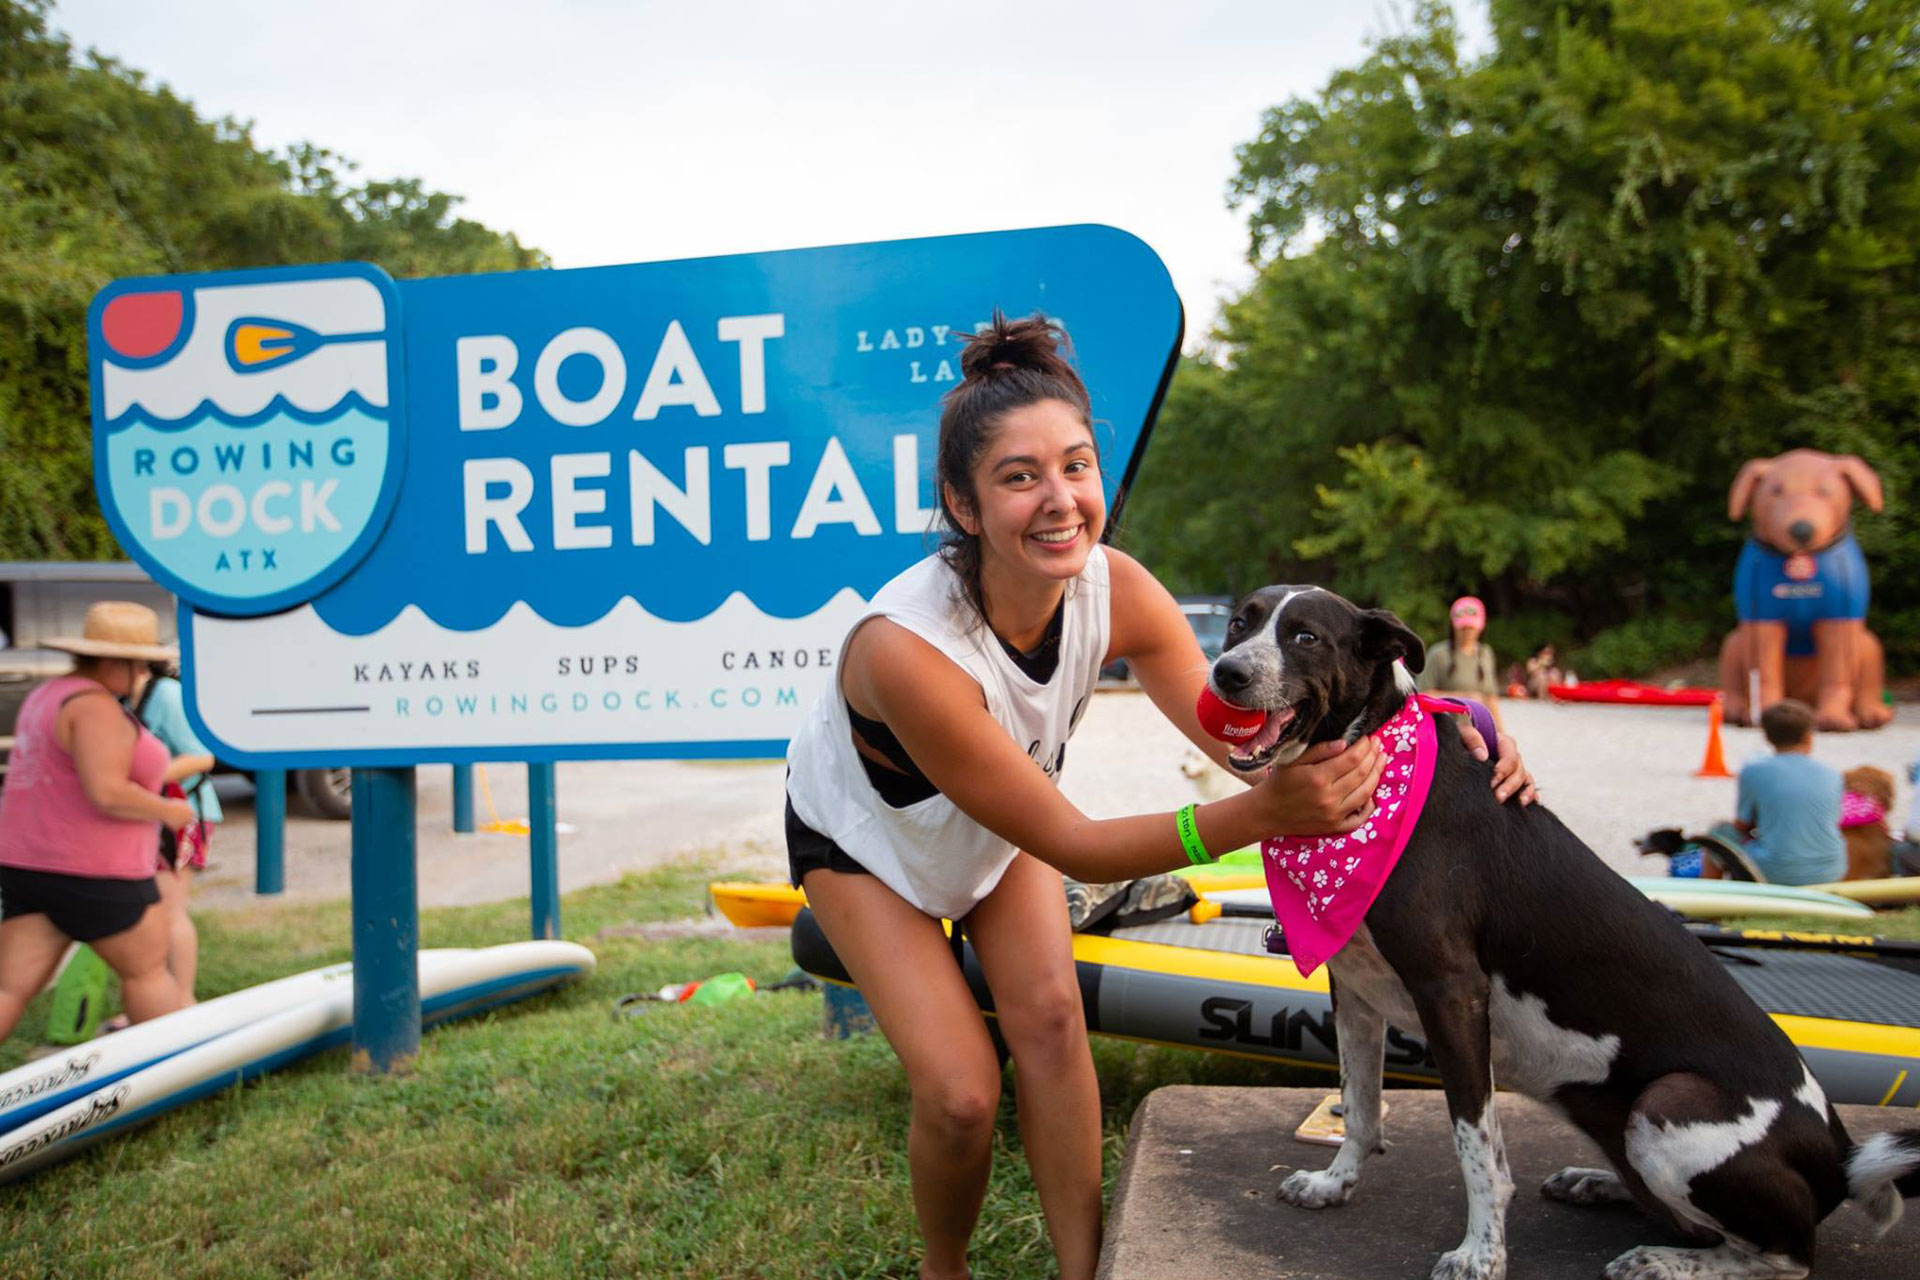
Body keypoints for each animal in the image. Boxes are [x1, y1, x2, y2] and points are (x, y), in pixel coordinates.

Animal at [1213, 583, 1920, 1280]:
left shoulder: (1452, 994)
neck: (1375, 763)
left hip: (1670, 1102)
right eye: (1238, 624)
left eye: (1306, 636)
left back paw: (1663, 1260)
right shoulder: (1356, 990)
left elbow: (1476, 1147)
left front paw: (1482, 1253)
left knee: (1785, 1256)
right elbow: (1360, 1106)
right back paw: (1600, 1183)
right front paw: (1335, 1184)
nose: (1226, 672)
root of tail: (1841, 1152)